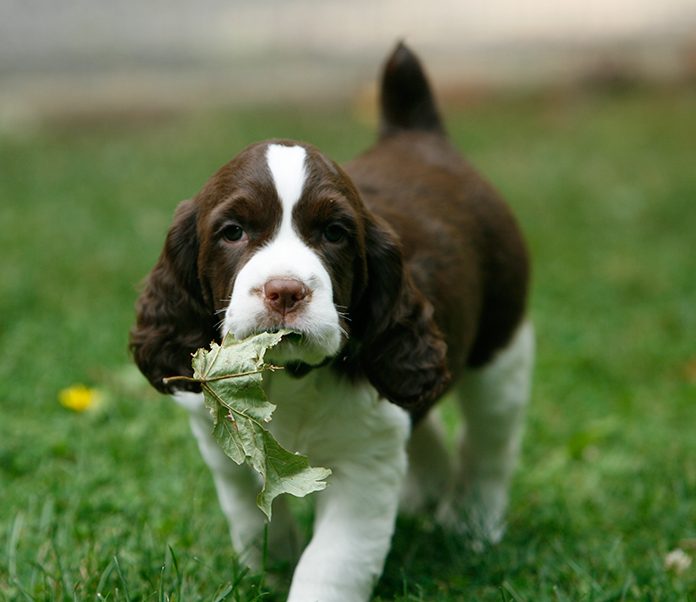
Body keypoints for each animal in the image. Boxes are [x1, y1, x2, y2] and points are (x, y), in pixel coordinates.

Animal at [130, 43, 532, 600]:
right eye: (232, 231)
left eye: (335, 233)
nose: (285, 291)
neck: (288, 377)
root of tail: (417, 136)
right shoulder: (223, 446)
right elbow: (251, 516)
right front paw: (266, 571)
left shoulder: (363, 469)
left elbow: (331, 563)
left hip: (501, 348)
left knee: (490, 441)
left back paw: (472, 524)